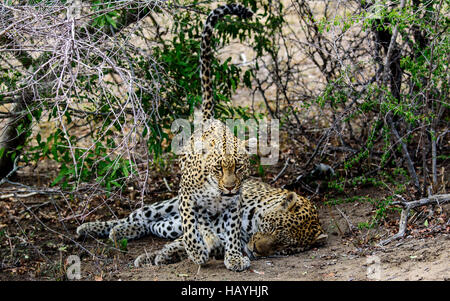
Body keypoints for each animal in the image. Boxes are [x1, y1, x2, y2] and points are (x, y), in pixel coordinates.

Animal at [77, 177, 326, 266]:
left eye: (284, 247)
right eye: (272, 227)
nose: (256, 249)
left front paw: (160, 257)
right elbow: (188, 241)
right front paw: (161, 256)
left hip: (171, 225)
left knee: (151, 225)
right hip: (172, 204)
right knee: (140, 215)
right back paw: (96, 229)